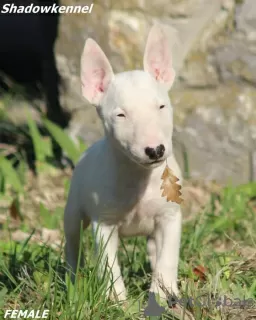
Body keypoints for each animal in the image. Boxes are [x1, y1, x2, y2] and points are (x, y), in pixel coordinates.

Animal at [65, 23, 183, 302]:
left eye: (161, 106)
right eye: (121, 115)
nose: (155, 150)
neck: (139, 177)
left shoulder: (171, 216)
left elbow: (167, 258)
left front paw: (162, 294)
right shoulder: (104, 224)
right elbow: (109, 265)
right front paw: (117, 300)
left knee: (154, 248)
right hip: (73, 210)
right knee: (72, 243)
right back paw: (73, 283)